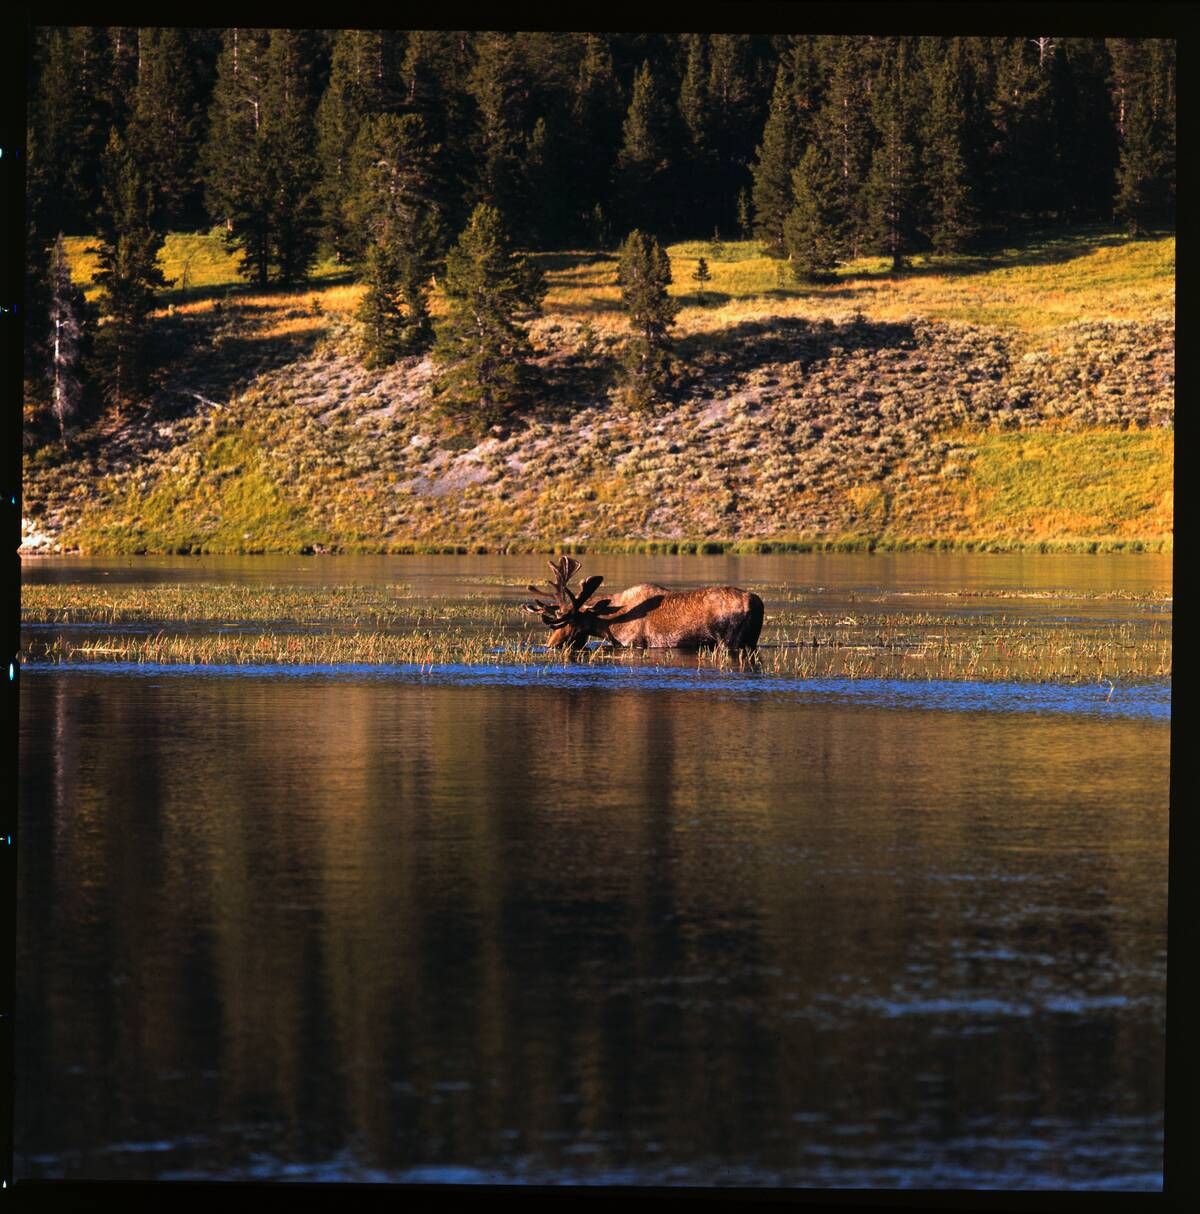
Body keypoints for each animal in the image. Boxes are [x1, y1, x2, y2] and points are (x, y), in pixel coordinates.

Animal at [521, 557, 764, 654]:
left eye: (571, 621)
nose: (551, 645)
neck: (608, 625)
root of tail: (756, 603)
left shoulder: (633, 643)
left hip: (729, 641)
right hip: (751, 640)